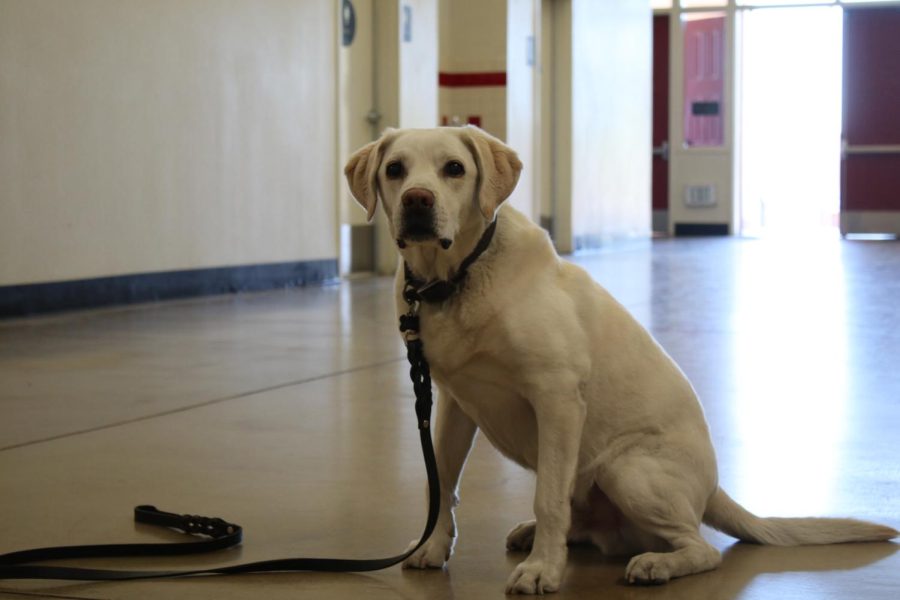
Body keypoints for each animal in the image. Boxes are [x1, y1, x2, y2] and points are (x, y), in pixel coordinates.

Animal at [342, 127, 892, 596]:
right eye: (395, 169)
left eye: (454, 168)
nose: (417, 200)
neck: (456, 279)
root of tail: (715, 489)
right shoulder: (456, 402)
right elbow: (442, 483)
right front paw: (434, 546)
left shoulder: (558, 399)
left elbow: (548, 494)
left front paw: (543, 570)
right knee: (588, 525)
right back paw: (538, 534)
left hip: (627, 470)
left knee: (701, 548)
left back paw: (655, 564)